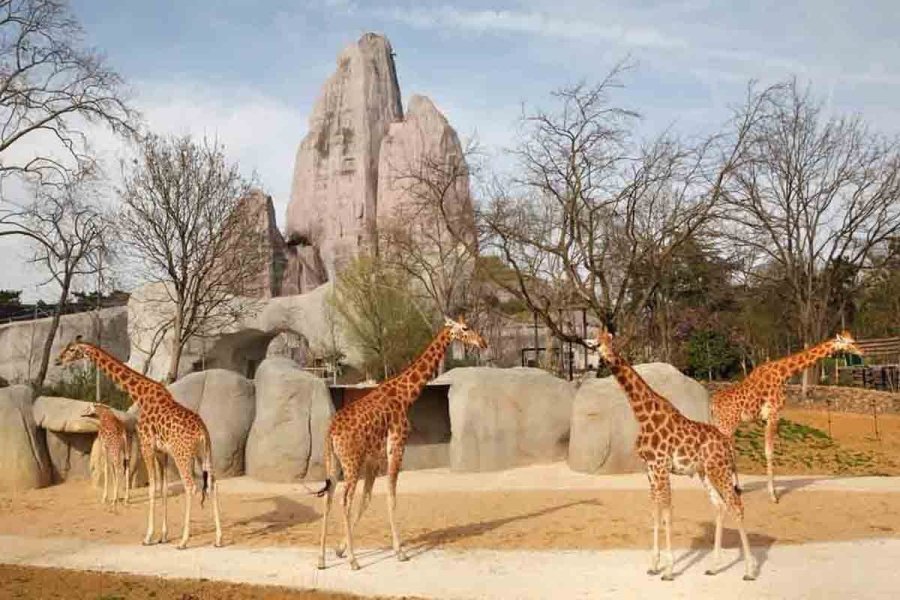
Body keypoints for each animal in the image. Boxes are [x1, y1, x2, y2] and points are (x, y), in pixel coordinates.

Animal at [55, 336, 222, 552]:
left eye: (71, 349)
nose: (57, 360)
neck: (140, 395)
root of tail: (202, 431)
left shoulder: (146, 445)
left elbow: (152, 488)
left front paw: (148, 536)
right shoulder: (161, 452)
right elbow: (162, 488)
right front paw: (163, 536)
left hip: (182, 455)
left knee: (191, 486)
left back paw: (184, 541)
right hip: (205, 454)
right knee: (212, 484)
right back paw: (218, 538)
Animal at [314, 316, 486, 568]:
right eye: (465, 328)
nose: (482, 342)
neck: (405, 395)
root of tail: (331, 432)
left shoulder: (374, 458)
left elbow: (367, 499)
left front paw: (340, 549)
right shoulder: (396, 446)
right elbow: (391, 496)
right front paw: (400, 552)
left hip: (333, 462)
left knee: (328, 498)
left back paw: (321, 559)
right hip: (351, 463)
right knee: (344, 501)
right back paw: (354, 561)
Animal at [596, 330, 756, 580]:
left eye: (612, 342)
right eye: (597, 344)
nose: (608, 358)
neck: (643, 416)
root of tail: (727, 444)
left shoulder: (661, 467)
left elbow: (667, 512)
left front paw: (669, 570)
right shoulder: (650, 469)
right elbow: (655, 512)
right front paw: (654, 565)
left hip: (719, 470)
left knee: (736, 504)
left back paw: (749, 570)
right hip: (706, 472)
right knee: (720, 506)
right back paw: (714, 567)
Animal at [712, 332, 864, 502]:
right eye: (850, 342)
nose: (862, 351)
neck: (783, 374)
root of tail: (713, 404)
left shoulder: (766, 418)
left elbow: (768, 451)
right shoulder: (773, 414)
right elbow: (769, 452)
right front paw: (773, 495)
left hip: (724, 425)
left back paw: (734, 488)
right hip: (727, 425)